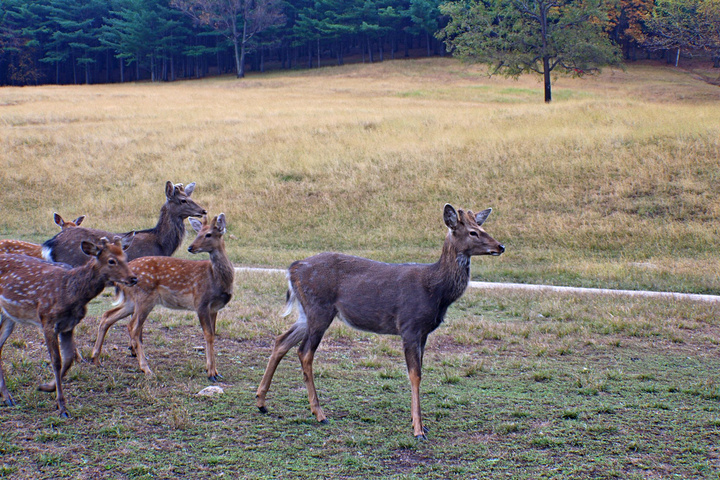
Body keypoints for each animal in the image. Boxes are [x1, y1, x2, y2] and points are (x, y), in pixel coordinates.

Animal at [0, 236, 136, 416]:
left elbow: (69, 359)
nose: (133, 278)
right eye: (111, 260)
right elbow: (56, 361)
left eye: (125, 257)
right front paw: (61, 406)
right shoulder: (47, 320)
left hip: (9, 316)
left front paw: (46, 387)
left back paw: (7, 397)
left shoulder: (69, 325)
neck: (71, 293)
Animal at [90, 214, 233, 382]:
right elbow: (208, 335)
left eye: (208, 234)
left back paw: (95, 358)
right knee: (133, 327)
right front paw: (211, 373)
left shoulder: (214, 308)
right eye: (198, 233)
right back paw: (145, 368)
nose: (190, 247)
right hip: (145, 297)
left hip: (131, 301)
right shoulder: (201, 302)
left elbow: (213, 334)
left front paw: (214, 370)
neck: (216, 279)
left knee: (107, 316)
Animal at [256, 202, 504, 438]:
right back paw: (319, 413)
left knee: (281, 340)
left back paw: (261, 402)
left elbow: (420, 371)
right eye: (473, 232)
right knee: (304, 352)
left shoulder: (423, 332)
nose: (500, 246)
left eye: (483, 227)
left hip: (306, 312)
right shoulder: (409, 325)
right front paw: (418, 429)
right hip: (319, 309)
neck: (436, 290)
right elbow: (415, 375)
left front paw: (418, 422)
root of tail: (292, 269)